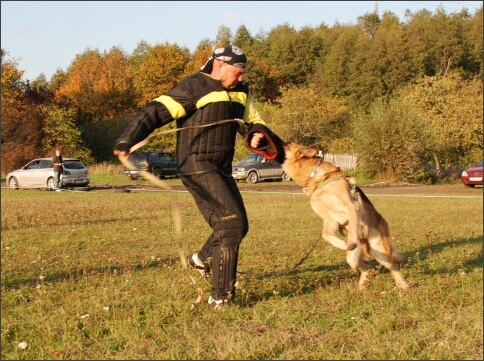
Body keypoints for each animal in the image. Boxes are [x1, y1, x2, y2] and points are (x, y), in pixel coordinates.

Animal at [282, 141, 410, 290]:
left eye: (286, 144)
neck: (318, 180)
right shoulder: (330, 220)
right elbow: (326, 235)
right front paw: (343, 244)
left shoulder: (351, 208)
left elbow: (353, 228)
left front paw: (350, 242)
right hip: (353, 260)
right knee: (367, 266)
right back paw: (361, 286)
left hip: (381, 253)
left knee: (393, 266)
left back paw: (403, 285)